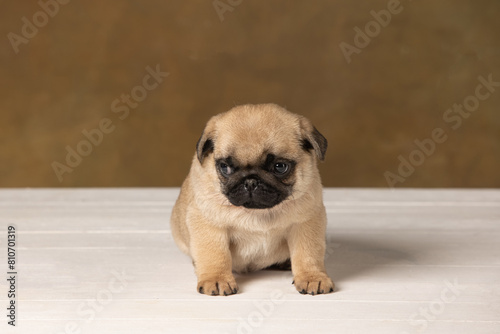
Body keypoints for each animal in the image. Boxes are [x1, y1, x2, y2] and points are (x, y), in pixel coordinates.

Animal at [170, 103, 334, 294]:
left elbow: (307, 254)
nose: (250, 181)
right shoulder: (209, 225)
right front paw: (216, 278)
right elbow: (214, 254)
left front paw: (312, 277)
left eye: (280, 167)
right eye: (225, 167)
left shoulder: (305, 224)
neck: (257, 212)